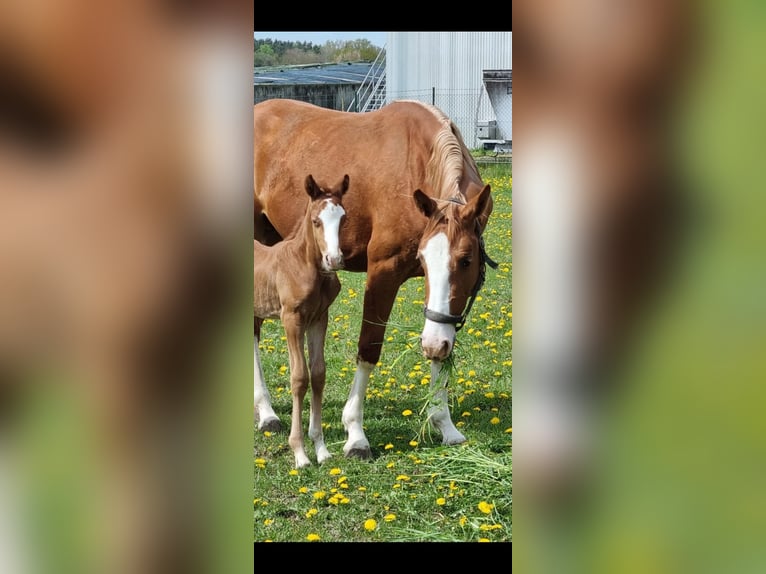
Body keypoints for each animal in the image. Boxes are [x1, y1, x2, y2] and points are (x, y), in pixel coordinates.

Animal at [254, 174, 350, 468]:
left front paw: (321, 448)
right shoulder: (291, 319)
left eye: (344, 218)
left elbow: (318, 374)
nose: (334, 259)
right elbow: (299, 378)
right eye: (316, 221)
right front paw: (299, 453)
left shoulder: (319, 318)